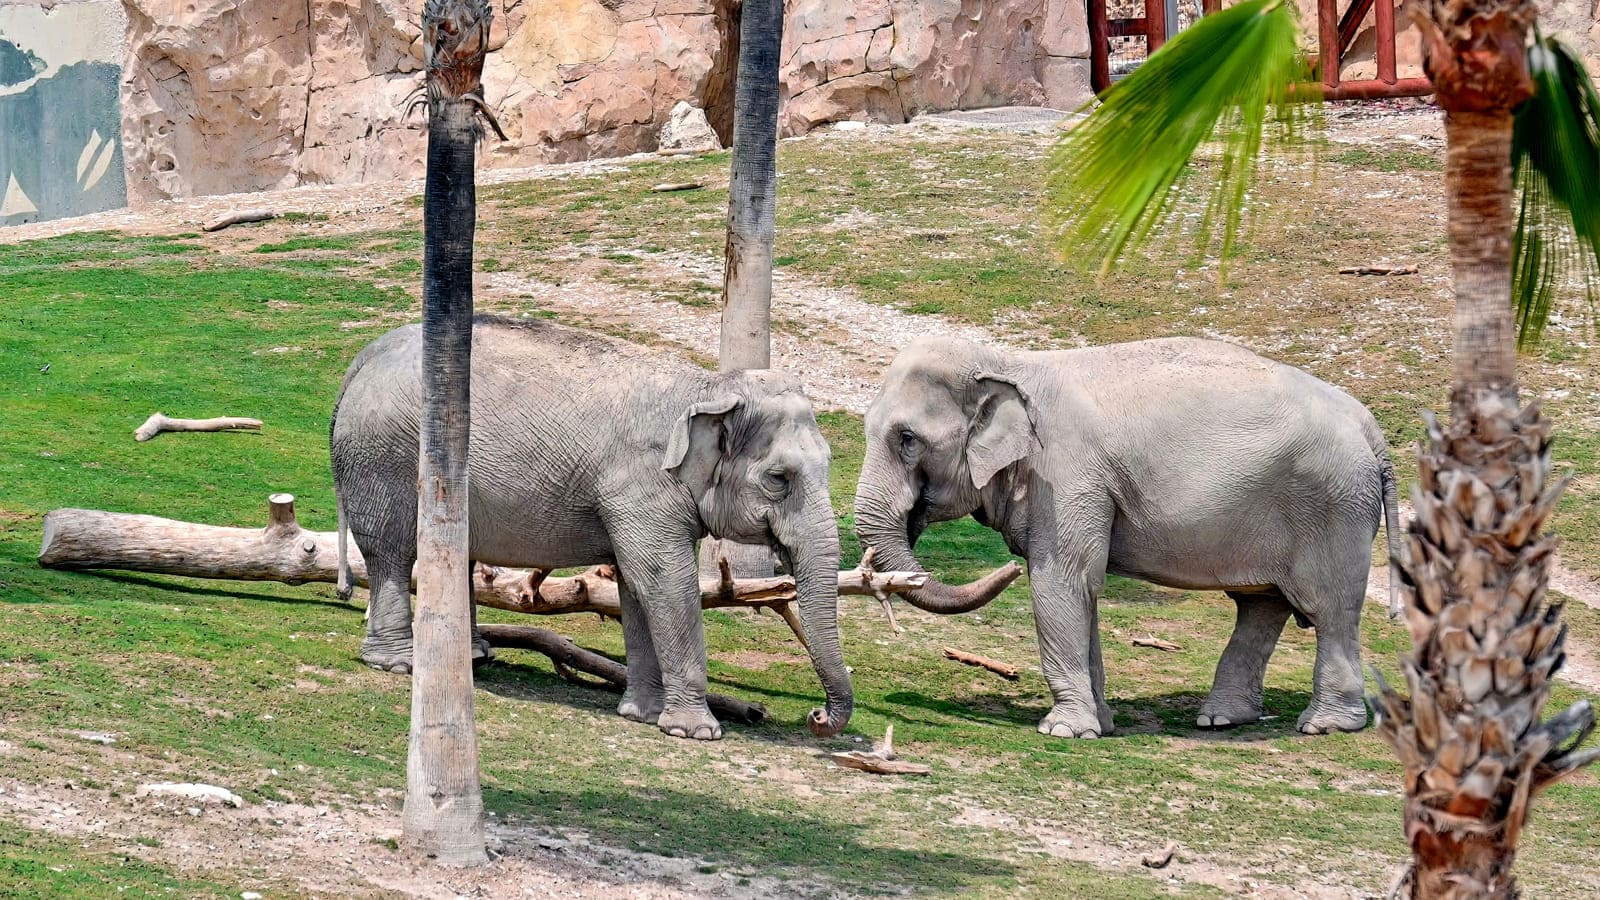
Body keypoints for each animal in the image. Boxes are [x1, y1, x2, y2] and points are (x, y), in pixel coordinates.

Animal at [329, 315, 852, 741]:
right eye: (779, 479)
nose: (816, 716)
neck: (710, 386)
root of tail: (362, 357)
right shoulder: (642, 485)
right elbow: (664, 580)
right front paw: (695, 732)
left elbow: (635, 585)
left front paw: (642, 715)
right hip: (384, 457)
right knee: (391, 553)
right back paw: (398, 662)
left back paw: (473, 658)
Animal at [853, 336, 1400, 738]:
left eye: (907, 440)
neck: (1010, 362)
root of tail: (1368, 424)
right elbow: (1083, 591)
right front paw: (1102, 725)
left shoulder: (1069, 478)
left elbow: (1061, 583)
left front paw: (1063, 732)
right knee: (1260, 606)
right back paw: (1221, 719)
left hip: (1334, 509)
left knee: (1329, 610)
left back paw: (1325, 726)